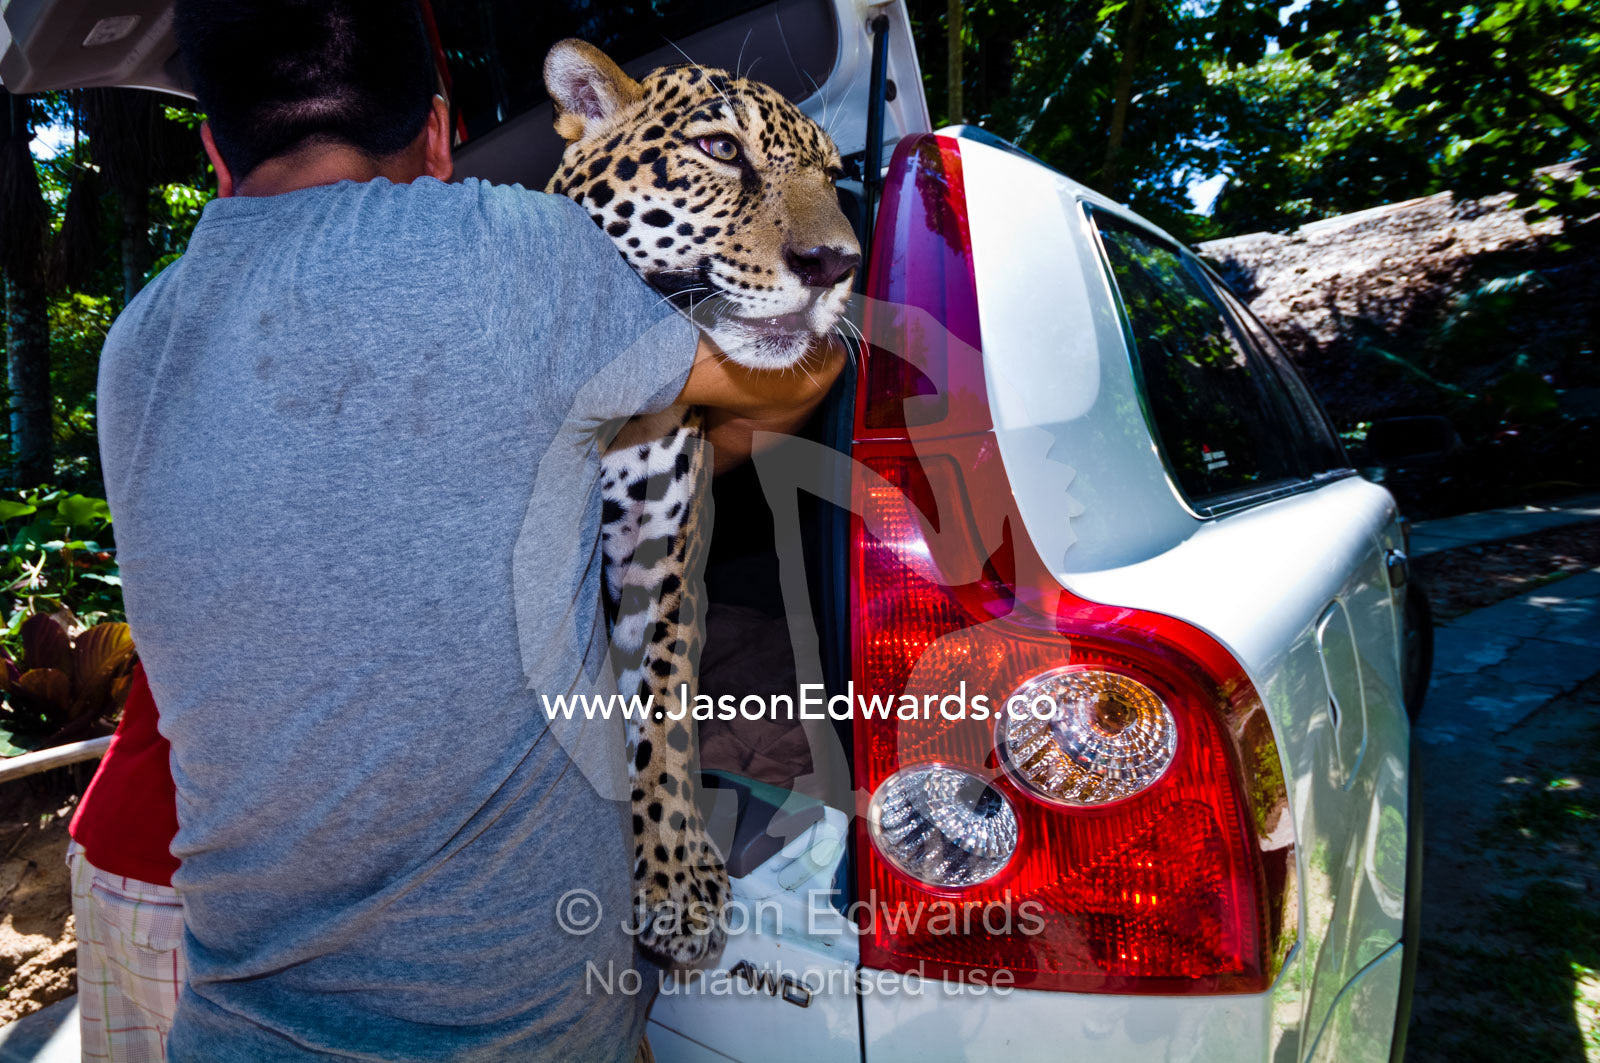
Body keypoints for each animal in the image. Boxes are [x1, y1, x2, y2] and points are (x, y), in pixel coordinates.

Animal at [542, 39, 860, 966]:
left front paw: (675, 874)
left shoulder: (662, 559)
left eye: (835, 178)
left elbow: (662, 709)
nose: (838, 265)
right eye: (720, 149)